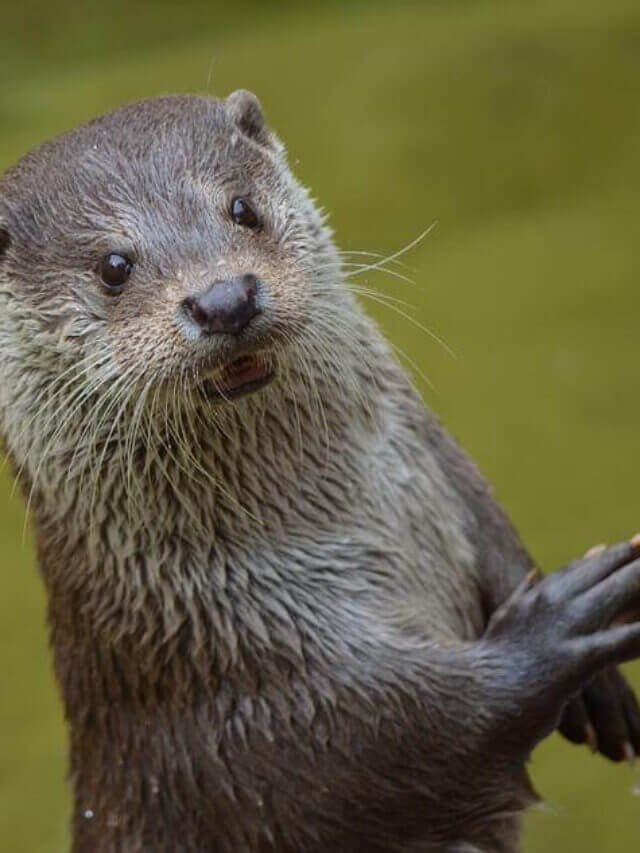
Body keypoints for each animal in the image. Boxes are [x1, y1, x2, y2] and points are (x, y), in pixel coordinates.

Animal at [1, 91, 640, 853]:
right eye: (114, 264)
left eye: (242, 208)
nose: (223, 298)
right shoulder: (239, 704)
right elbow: (390, 744)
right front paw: (555, 629)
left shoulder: (439, 467)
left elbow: (490, 523)